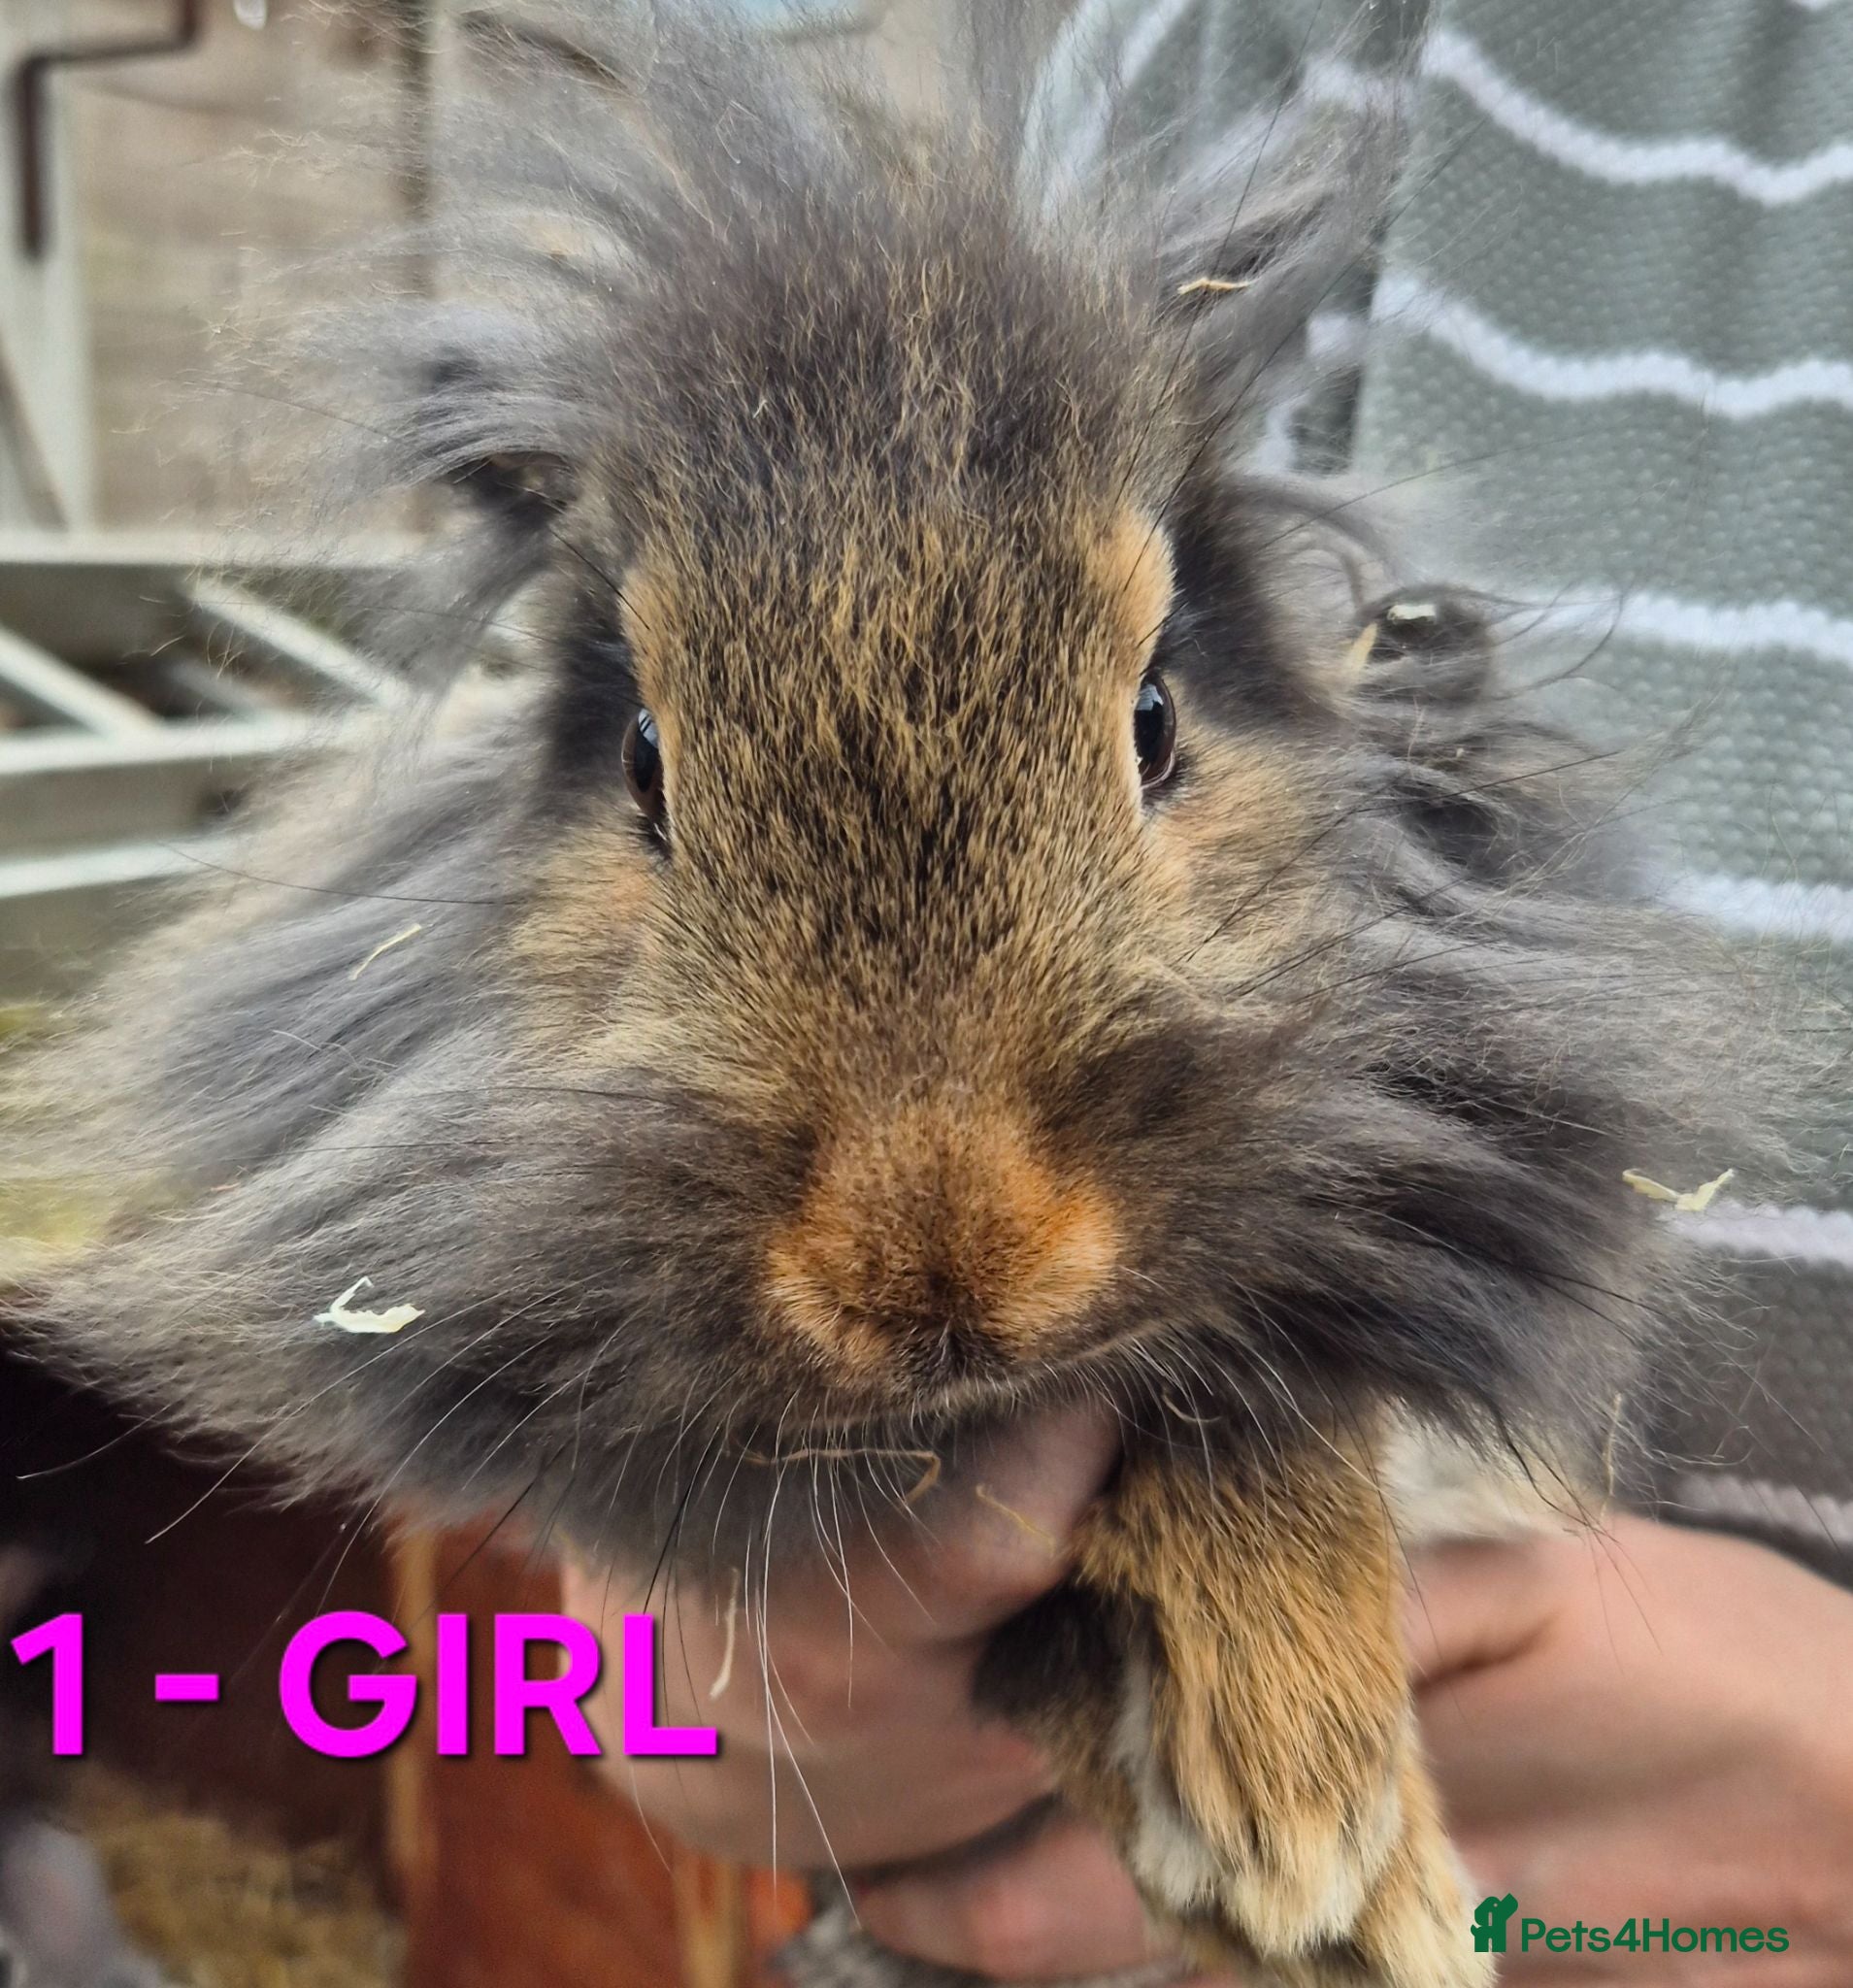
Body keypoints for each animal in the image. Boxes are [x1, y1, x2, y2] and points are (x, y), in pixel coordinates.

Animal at [0, 7, 1810, 1985]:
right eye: (642, 762)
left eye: (1154, 718)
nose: (940, 1268)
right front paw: (1312, 1874)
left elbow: (1271, 1407)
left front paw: (1317, 1819)